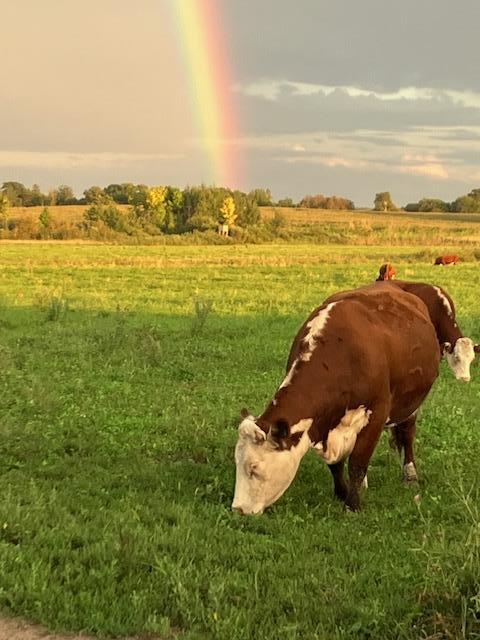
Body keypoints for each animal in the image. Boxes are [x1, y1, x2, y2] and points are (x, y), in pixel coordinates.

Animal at [232, 284, 438, 516]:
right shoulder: (326, 426)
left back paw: (410, 475)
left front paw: (353, 505)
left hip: (411, 403)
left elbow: (357, 463)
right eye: (236, 462)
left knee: (407, 434)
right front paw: (342, 492)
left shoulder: (377, 412)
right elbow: (336, 465)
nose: (238, 509)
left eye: (254, 468)